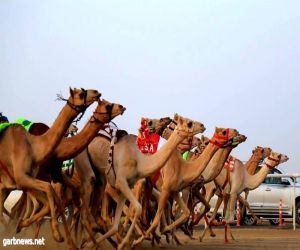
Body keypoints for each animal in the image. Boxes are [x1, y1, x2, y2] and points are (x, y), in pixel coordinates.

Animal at [0, 87, 101, 248]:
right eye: (80, 93)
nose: (97, 92)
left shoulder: (55, 177)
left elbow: (62, 201)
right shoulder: (35, 179)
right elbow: (54, 200)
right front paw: (60, 237)